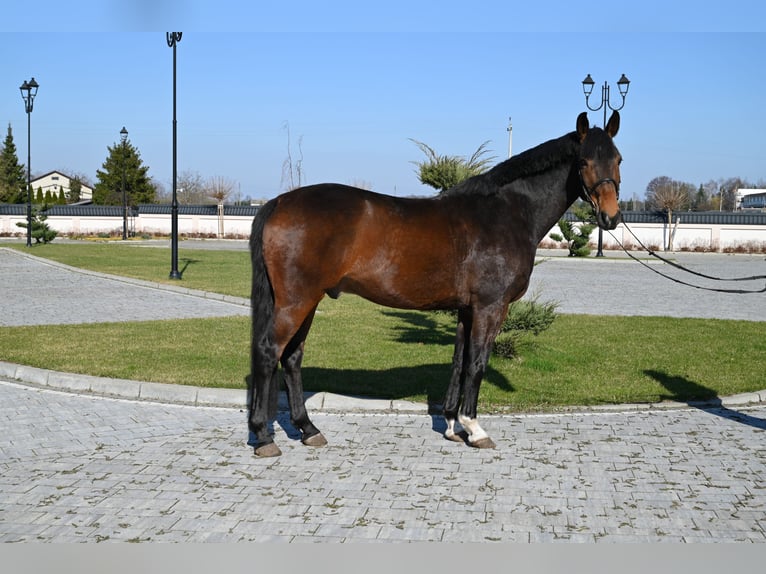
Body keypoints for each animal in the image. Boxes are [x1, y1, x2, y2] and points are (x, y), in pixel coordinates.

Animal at [248, 110, 622, 457]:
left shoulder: (467, 310)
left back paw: (308, 429)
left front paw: (453, 426)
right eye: (584, 161)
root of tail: (279, 202)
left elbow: (459, 361)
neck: (506, 212)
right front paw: (475, 429)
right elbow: (477, 362)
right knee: (269, 351)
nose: (611, 217)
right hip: (296, 301)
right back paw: (264, 437)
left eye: (617, 158)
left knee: (292, 357)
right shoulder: (490, 307)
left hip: (308, 300)